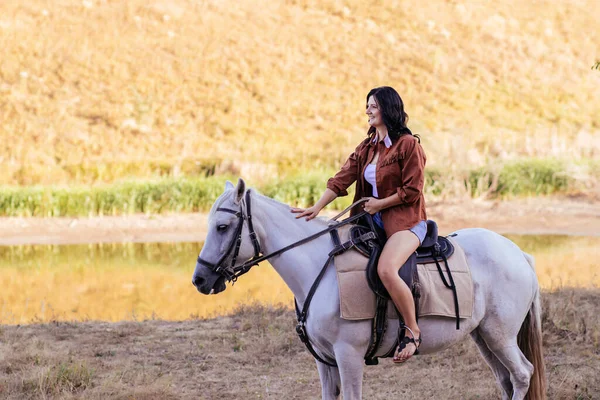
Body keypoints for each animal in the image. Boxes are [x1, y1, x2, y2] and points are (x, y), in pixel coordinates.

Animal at [193, 180, 548, 400]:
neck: (319, 265)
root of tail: (518, 253)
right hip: (484, 336)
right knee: (505, 380)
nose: (199, 280)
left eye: (222, 227)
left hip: (500, 335)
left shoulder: (348, 356)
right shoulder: (326, 361)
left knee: (521, 375)